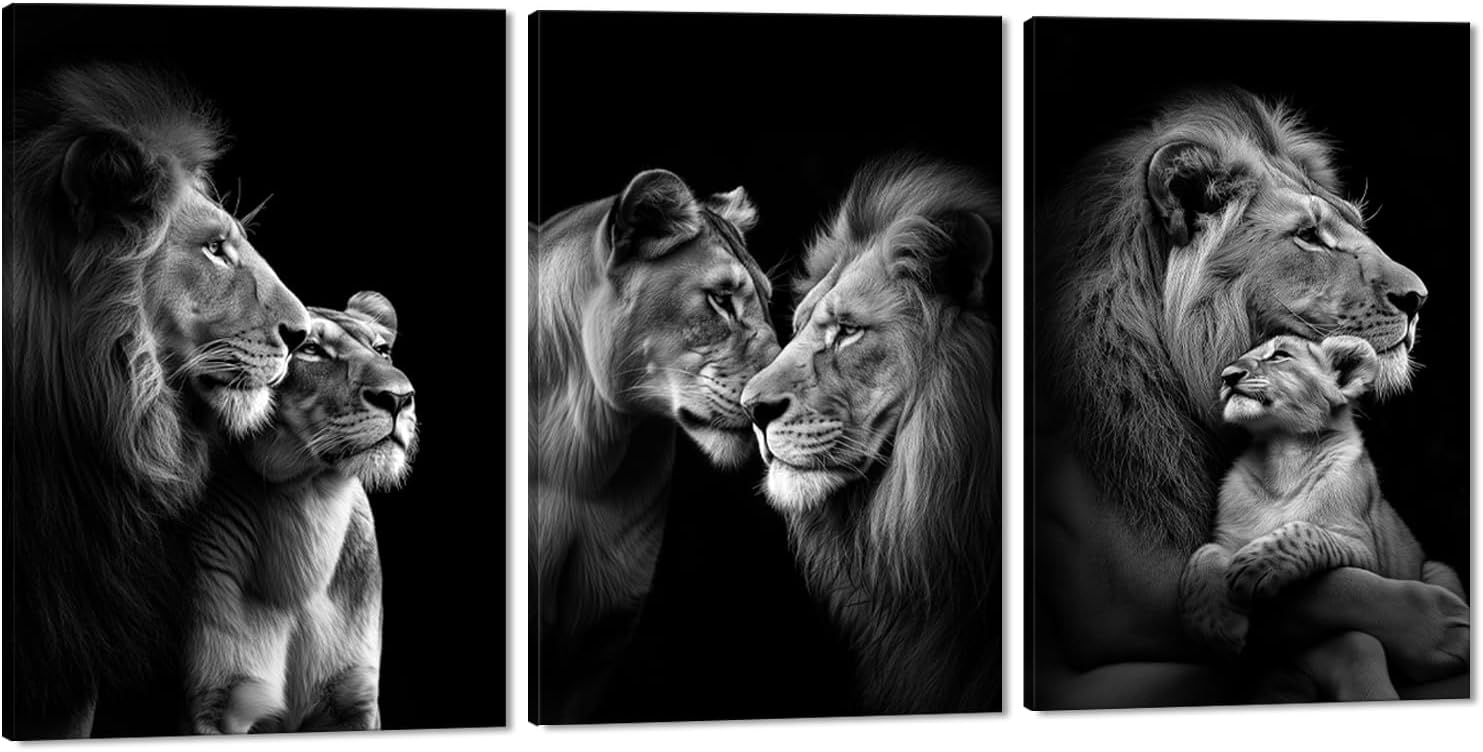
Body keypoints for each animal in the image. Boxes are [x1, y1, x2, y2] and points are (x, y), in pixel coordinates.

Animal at [1032, 88, 1468, 708]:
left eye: (1354, 225)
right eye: (1308, 235)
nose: (1419, 299)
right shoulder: (1122, 602)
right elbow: (1330, 595)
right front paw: (1439, 623)